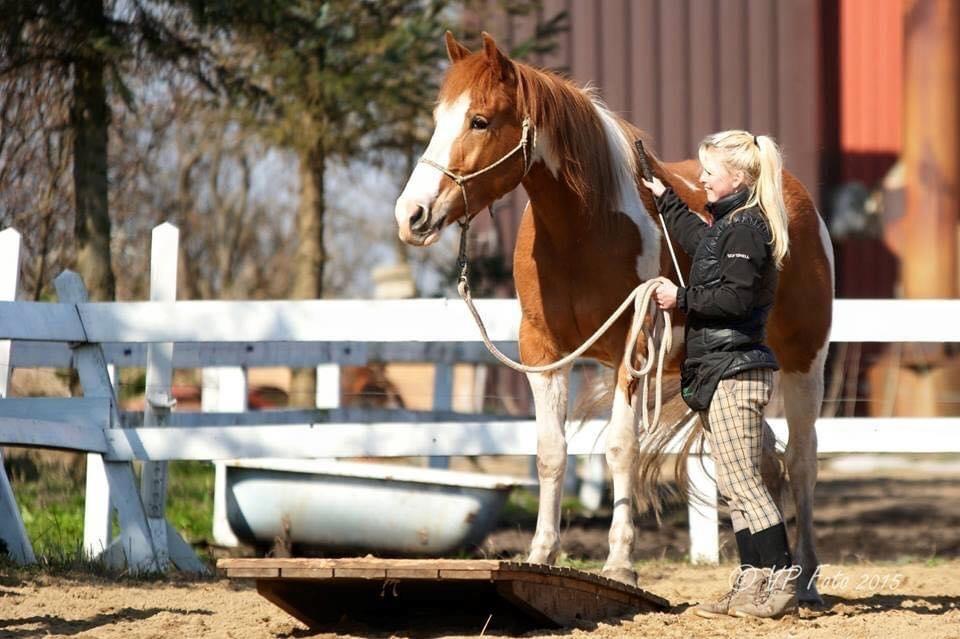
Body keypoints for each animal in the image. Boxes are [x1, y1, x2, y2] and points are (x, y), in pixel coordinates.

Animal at [392, 31, 832, 604]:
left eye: (480, 121)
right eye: (438, 117)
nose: (411, 215)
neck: (583, 228)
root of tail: (797, 202)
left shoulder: (632, 345)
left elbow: (621, 450)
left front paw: (621, 564)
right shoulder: (544, 353)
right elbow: (551, 452)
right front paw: (541, 554)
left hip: (805, 361)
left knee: (801, 459)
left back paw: (806, 580)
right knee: (758, 460)